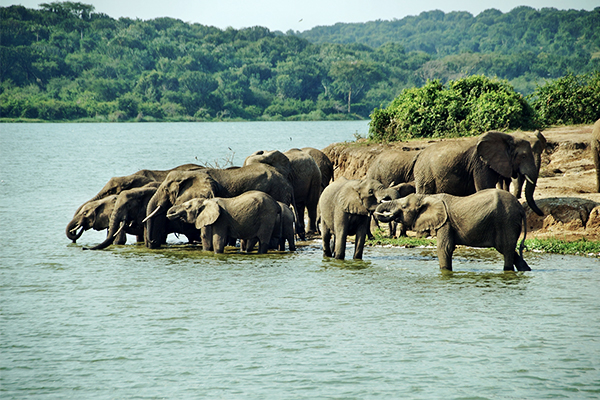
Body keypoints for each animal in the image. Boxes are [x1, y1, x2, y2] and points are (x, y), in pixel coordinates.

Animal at [376, 188, 528, 272]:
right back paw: (526, 270)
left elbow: (445, 248)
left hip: (506, 220)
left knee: (506, 249)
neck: (428, 196)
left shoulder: (446, 223)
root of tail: (521, 209)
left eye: (403, 207)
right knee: (507, 249)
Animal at [414, 131, 548, 216]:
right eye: (523, 156)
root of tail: (418, 155)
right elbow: (485, 187)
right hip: (425, 173)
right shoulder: (480, 164)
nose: (542, 214)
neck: (507, 138)